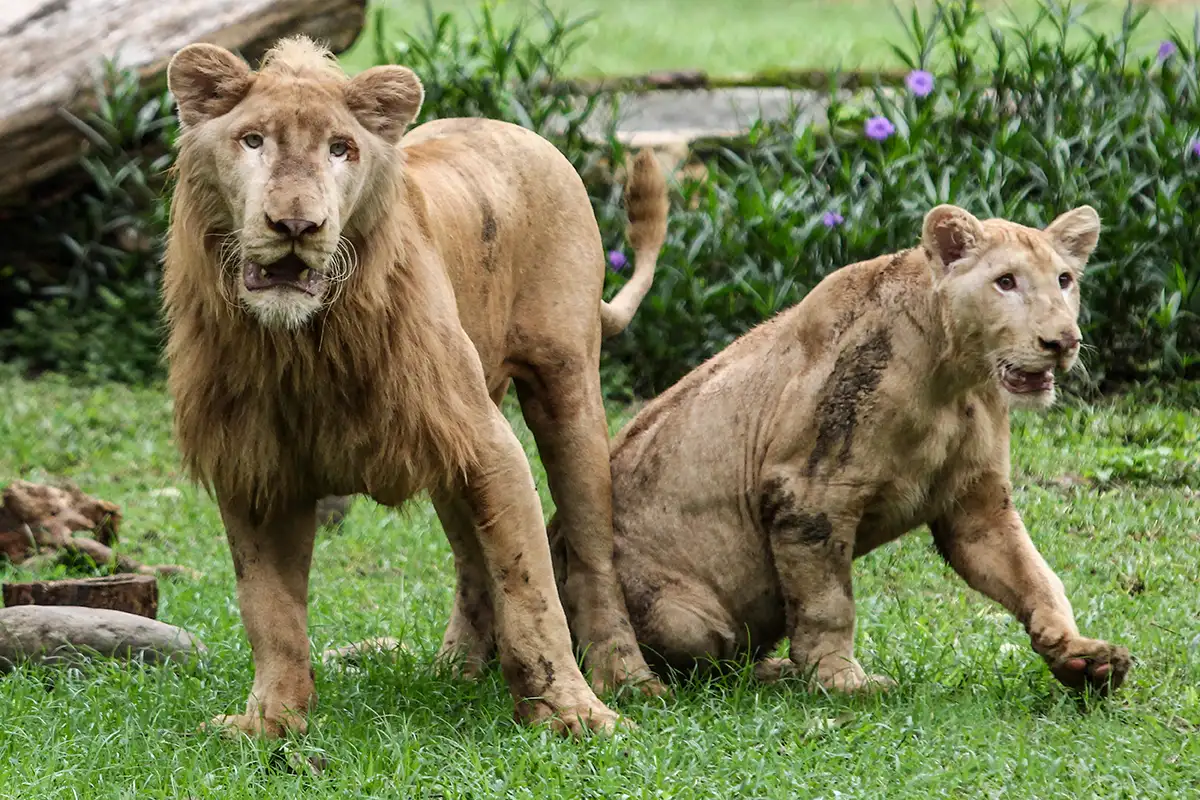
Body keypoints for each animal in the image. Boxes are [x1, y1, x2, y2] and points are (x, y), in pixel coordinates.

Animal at [162, 37, 667, 738]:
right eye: (252, 140)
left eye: (340, 148)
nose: (296, 225)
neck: (303, 344)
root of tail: (513, 129)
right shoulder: (254, 463)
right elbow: (269, 610)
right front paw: (272, 719)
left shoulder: (488, 445)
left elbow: (532, 588)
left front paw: (573, 713)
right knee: (471, 563)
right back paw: (457, 669)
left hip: (566, 387)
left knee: (592, 549)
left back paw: (628, 681)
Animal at [554, 203, 1132, 695]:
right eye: (1005, 282)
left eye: (1064, 280)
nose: (1062, 342)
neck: (957, 379)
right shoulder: (808, 492)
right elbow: (828, 602)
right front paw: (841, 681)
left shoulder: (977, 504)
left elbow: (1035, 577)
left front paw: (1082, 658)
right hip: (682, 616)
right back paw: (781, 674)